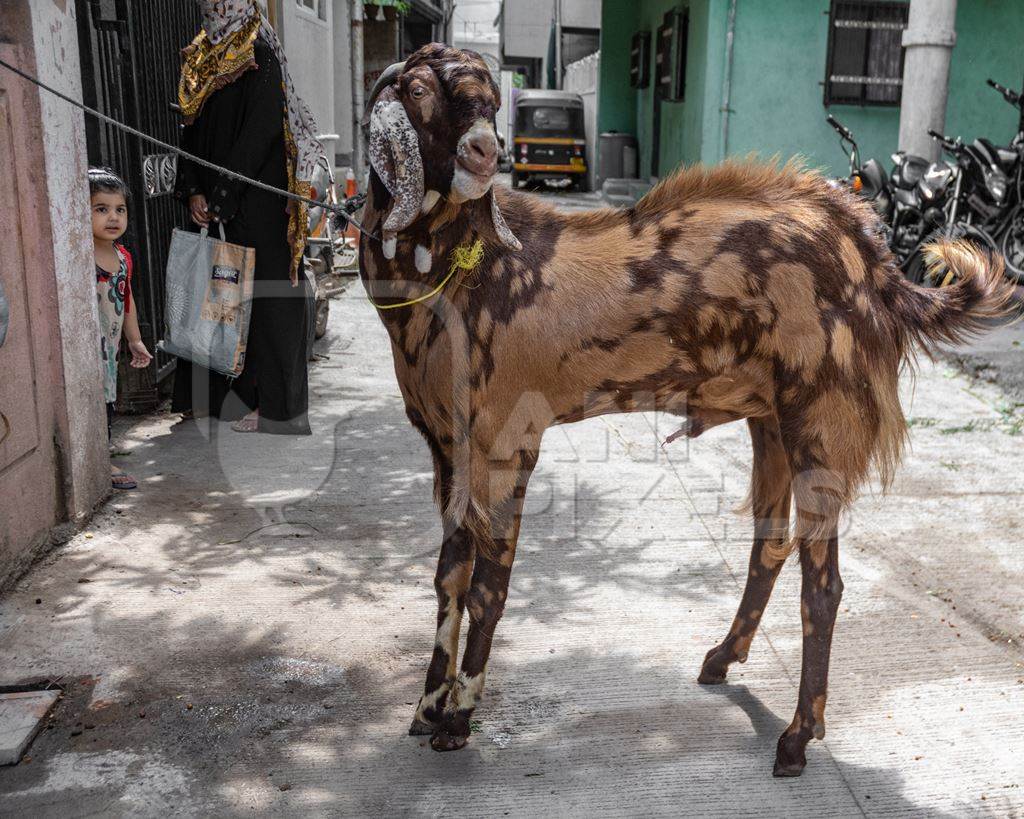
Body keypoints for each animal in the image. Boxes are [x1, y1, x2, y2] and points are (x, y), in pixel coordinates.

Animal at [356, 43, 1011, 773]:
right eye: (417, 89)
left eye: (494, 102)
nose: (484, 151)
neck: (473, 267)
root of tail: (880, 268)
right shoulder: (446, 445)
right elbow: (447, 576)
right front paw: (424, 708)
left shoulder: (505, 436)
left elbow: (485, 588)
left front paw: (458, 718)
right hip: (771, 421)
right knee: (771, 545)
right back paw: (725, 659)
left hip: (822, 420)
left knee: (824, 585)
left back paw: (797, 736)